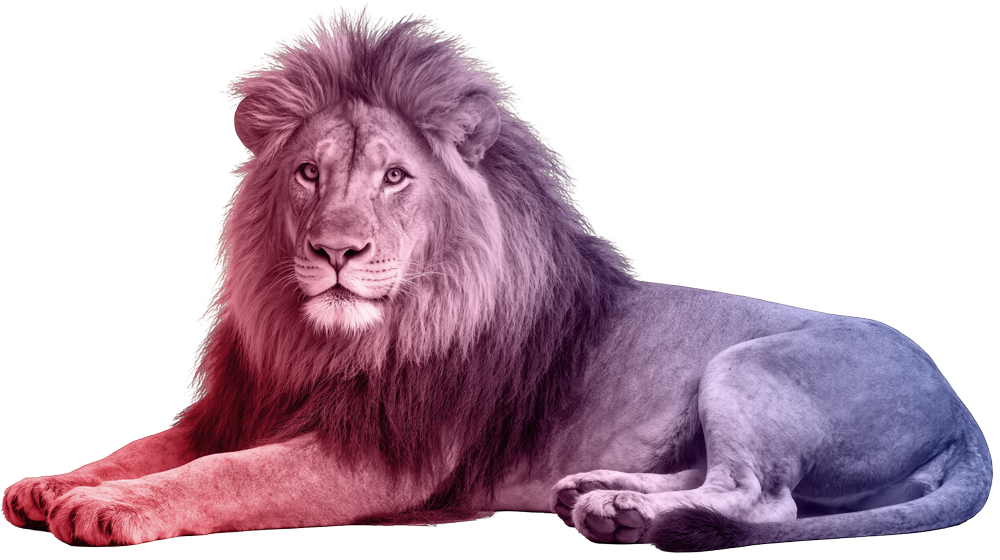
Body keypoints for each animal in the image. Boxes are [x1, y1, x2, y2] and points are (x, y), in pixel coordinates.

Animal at [2, 6, 991, 551]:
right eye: (308, 174)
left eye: (394, 178)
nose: (335, 252)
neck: (330, 343)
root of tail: (960, 403)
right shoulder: (237, 408)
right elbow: (144, 449)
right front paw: (54, 484)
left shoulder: (383, 457)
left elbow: (222, 478)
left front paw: (103, 509)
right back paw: (599, 498)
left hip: (743, 366)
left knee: (764, 499)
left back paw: (624, 516)